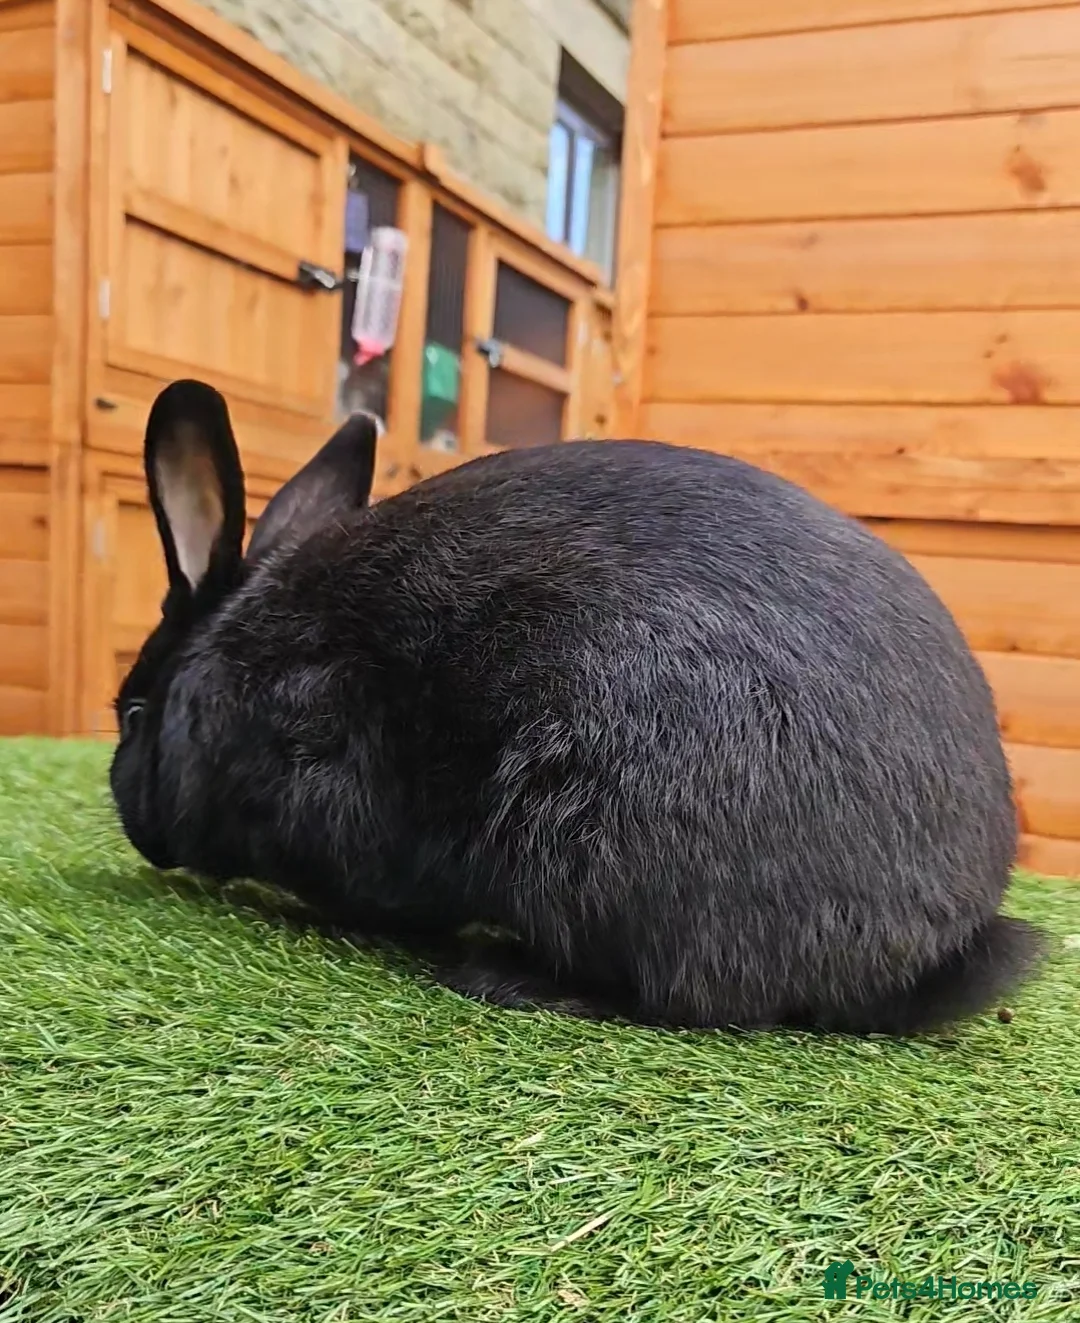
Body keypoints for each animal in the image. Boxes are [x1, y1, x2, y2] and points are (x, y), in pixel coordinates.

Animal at [109, 378, 1045, 1035]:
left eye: (132, 713)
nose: (130, 817)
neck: (239, 667)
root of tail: (929, 947)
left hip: (586, 849)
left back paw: (502, 975)